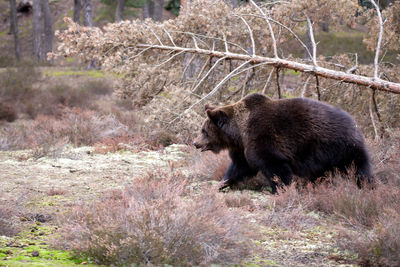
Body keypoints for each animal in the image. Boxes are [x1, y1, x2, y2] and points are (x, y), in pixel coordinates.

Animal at [192, 93, 374, 194]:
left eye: (204, 130)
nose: (195, 143)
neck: (239, 134)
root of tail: (355, 123)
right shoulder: (242, 149)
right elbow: (239, 168)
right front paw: (221, 184)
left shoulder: (263, 140)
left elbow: (276, 168)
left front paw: (279, 190)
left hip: (339, 147)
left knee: (359, 169)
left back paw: (367, 187)